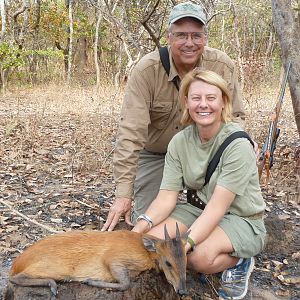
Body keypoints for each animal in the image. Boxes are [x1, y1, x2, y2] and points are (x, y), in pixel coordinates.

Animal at [7, 224, 189, 296]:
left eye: (186, 261)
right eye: (168, 262)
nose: (182, 291)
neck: (147, 253)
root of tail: (17, 263)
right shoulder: (113, 258)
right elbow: (125, 283)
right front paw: (89, 281)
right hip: (50, 267)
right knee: (14, 278)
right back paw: (53, 285)